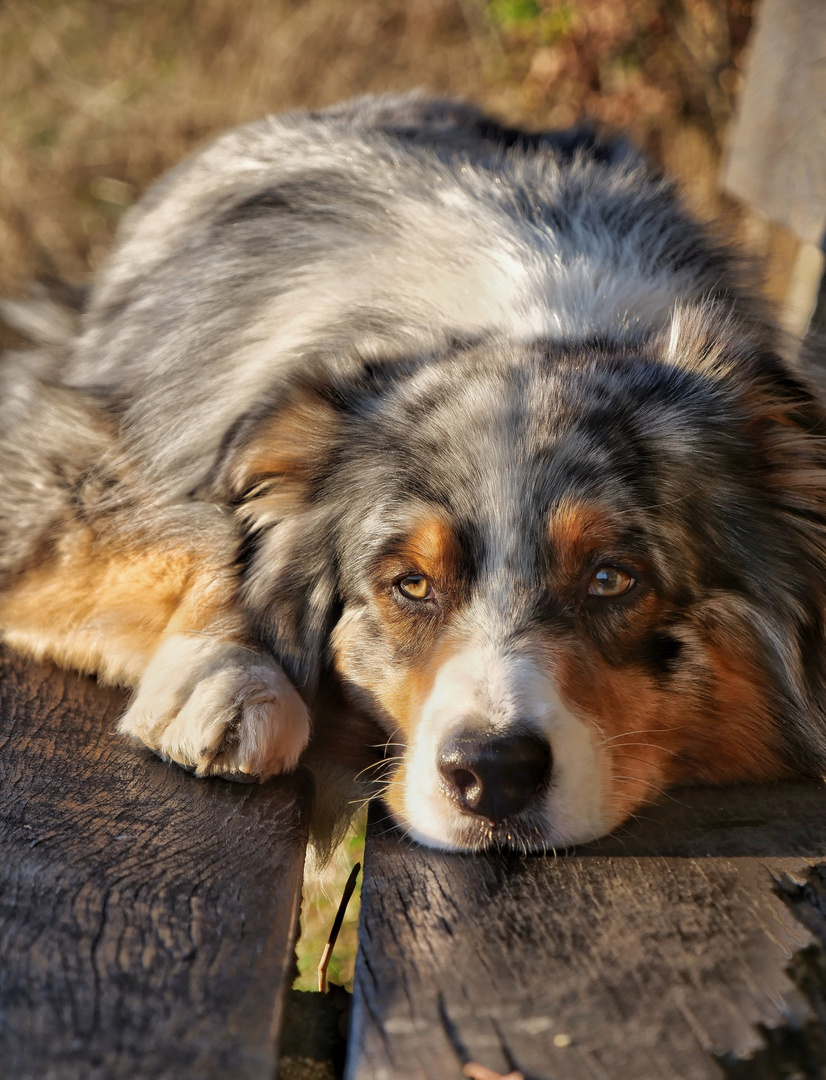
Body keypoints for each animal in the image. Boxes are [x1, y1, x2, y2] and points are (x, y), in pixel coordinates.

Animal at [1, 95, 824, 851]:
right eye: (412, 585)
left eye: (611, 579)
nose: (492, 773)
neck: (536, 318)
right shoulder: (56, 453)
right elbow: (205, 535)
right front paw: (226, 674)